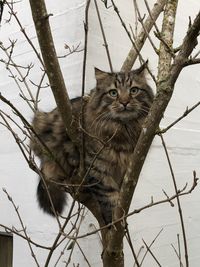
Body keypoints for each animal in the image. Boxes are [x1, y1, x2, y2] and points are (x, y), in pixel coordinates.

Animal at [30, 63, 154, 225]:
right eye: (113, 93)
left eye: (134, 90)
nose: (124, 102)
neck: (123, 129)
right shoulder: (97, 167)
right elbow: (108, 197)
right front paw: (113, 223)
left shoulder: (128, 170)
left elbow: (120, 196)